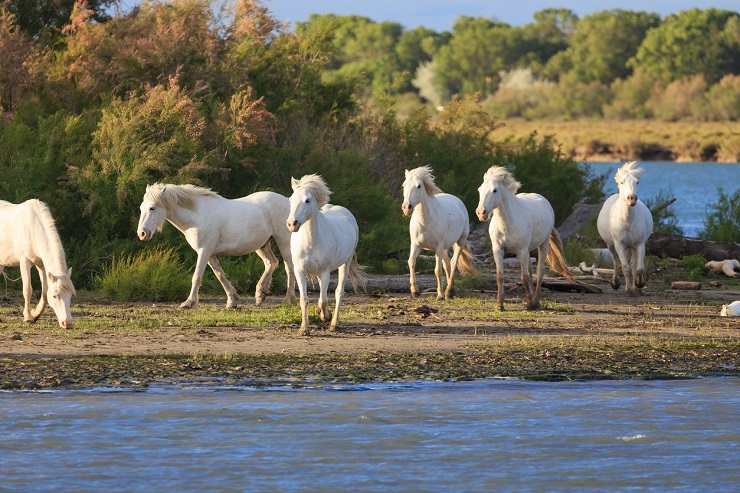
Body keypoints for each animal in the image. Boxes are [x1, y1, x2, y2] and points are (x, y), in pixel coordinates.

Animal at [0, 198, 74, 328]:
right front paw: (28, 317)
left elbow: (44, 293)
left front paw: (35, 314)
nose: (67, 323)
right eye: (55, 296)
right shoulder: (25, 261)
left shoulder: (41, 265)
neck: (33, 228)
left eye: (70, 295)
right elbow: (27, 290)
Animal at [137, 184, 294, 308]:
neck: (197, 217)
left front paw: (189, 302)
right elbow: (220, 275)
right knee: (271, 263)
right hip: (262, 245)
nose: (142, 234)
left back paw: (288, 299)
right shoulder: (211, 254)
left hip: (284, 242)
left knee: (289, 268)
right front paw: (232, 301)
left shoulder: (204, 251)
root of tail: (288, 201)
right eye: (141, 208)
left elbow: (197, 276)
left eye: (152, 208)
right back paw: (260, 294)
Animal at [286, 174, 364, 334]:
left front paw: (325, 316)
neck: (310, 241)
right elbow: (304, 299)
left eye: (307, 200)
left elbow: (324, 299)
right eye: (291, 199)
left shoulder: (325, 271)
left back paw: (333, 323)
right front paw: (304, 329)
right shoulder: (299, 271)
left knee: (338, 292)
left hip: (345, 263)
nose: (292, 224)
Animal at [402, 165, 476, 298]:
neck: (425, 222)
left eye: (419, 186)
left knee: (453, 263)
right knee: (447, 264)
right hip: (445, 248)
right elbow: (411, 262)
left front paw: (440, 295)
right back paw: (451, 290)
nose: (406, 208)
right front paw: (415, 291)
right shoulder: (415, 245)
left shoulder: (438, 247)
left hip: (459, 242)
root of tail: (457, 200)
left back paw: (448, 292)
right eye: (404, 185)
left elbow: (437, 270)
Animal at [476, 167, 576, 310]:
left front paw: (530, 304)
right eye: (479, 189)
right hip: (528, 250)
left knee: (539, 272)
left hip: (543, 245)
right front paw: (500, 304)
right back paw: (531, 299)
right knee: (530, 272)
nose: (481, 213)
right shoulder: (498, 250)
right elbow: (500, 276)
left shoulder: (521, 250)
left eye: (495, 190)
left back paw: (536, 301)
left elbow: (524, 277)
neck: (507, 223)